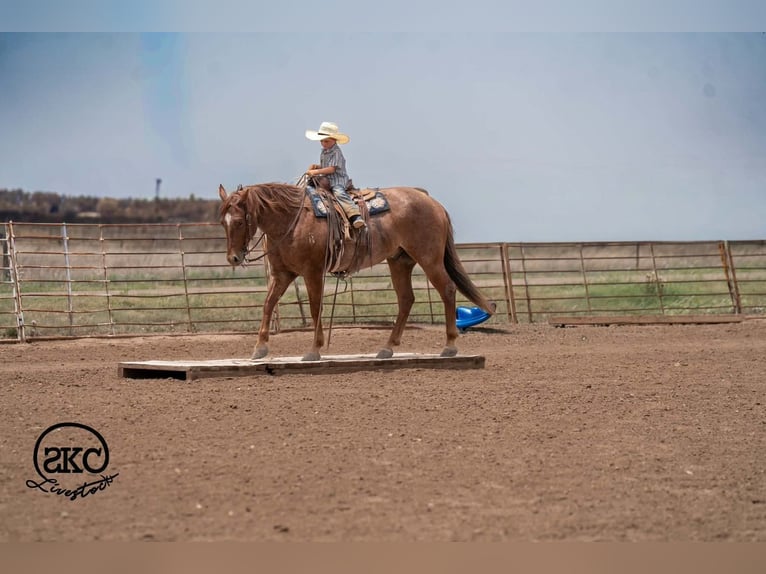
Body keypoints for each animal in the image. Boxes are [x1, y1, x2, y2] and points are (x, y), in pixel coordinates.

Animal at [218, 182, 495, 361]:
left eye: (240, 221)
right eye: (223, 221)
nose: (233, 257)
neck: (292, 220)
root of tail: (432, 202)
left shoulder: (312, 271)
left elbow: (315, 307)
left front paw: (314, 350)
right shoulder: (282, 274)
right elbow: (267, 304)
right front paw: (259, 349)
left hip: (429, 258)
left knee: (447, 289)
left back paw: (449, 346)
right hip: (400, 261)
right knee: (406, 299)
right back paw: (387, 348)